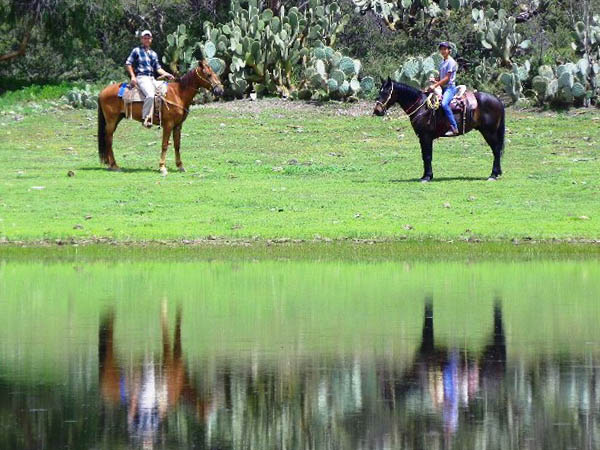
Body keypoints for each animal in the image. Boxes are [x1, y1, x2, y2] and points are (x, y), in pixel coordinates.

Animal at [372, 78, 504, 182]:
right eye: (379, 91)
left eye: (386, 92)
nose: (377, 111)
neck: (422, 106)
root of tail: (497, 100)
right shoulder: (423, 137)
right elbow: (425, 156)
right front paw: (426, 176)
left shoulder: (426, 136)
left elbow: (427, 156)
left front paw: (427, 177)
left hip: (489, 132)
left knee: (496, 150)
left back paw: (493, 175)